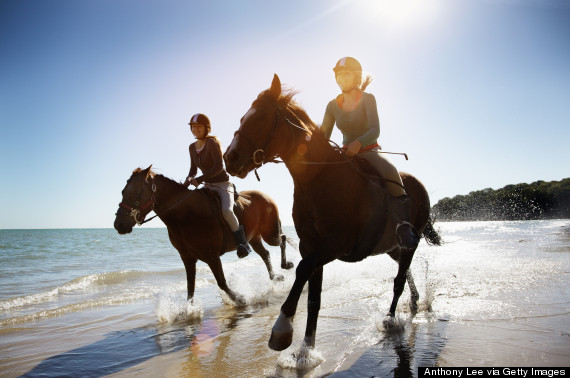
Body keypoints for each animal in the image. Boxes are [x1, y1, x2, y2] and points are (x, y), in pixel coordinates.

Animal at [113, 167, 296, 306]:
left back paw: (286, 265)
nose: (119, 225)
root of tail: (266, 196)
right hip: (254, 238)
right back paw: (275, 277)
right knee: (265, 254)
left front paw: (240, 299)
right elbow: (190, 288)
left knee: (282, 239)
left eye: (136, 192)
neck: (185, 216)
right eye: (122, 191)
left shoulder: (211, 256)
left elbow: (221, 282)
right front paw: (188, 312)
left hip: (269, 234)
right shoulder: (187, 258)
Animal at [222, 74, 440, 352]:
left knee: (399, 279)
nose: (229, 157)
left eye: (260, 118)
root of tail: (418, 185)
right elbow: (313, 298)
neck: (320, 177)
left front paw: (282, 328)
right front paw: (305, 350)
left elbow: (302, 269)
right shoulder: (312, 246)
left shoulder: (335, 245)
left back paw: (391, 319)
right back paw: (414, 301)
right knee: (404, 269)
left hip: (410, 241)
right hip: (391, 246)